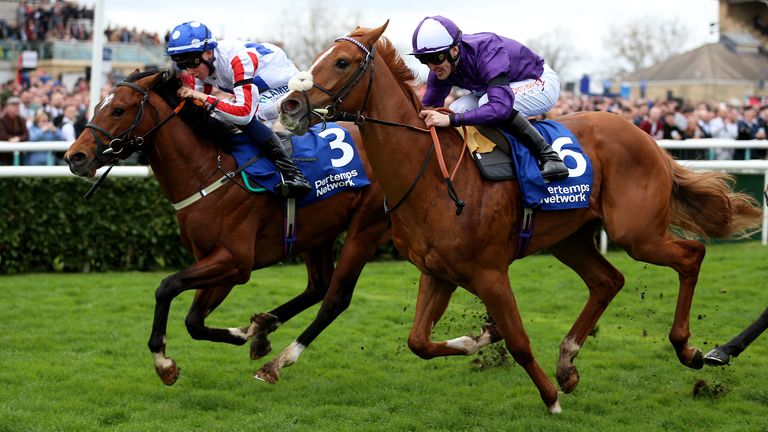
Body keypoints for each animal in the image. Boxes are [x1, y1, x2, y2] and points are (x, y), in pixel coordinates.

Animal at [63, 70, 390, 384]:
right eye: (97, 107)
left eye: (118, 110)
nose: (74, 156)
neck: (207, 172)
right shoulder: (213, 261)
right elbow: (193, 321)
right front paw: (249, 332)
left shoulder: (235, 261)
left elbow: (167, 287)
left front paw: (163, 362)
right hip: (317, 233)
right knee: (319, 286)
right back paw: (264, 328)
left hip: (367, 225)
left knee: (336, 298)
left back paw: (276, 362)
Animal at [280, 22, 764, 414]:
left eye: (341, 62)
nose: (289, 107)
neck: (432, 174)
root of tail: (646, 138)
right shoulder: (438, 272)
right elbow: (418, 342)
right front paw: (478, 339)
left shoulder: (490, 273)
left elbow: (519, 341)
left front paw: (549, 399)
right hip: (570, 238)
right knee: (608, 280)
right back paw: (568, 362)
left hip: (637, 232)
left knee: (691, 255)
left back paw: (689, 349)